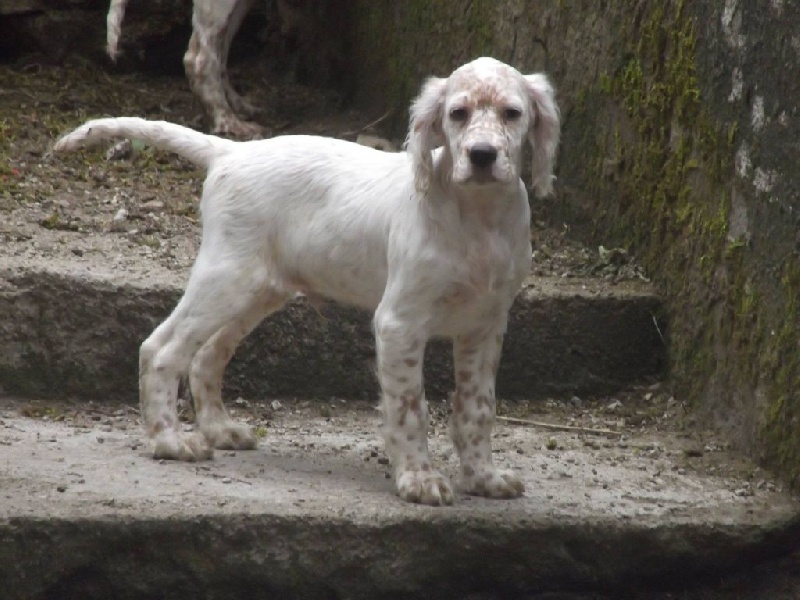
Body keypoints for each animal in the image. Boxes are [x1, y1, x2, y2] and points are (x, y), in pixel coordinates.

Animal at [54, 57, 560, 506]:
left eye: (512, 113)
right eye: (458, 113)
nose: (482, 156)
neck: (478, 218)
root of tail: (233, 151)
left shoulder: (485, 326)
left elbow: (477, 408)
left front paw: (483, 478)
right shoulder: (399, 323)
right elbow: (408, 408)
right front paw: (419, 479)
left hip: (258, 291)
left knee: (206, 356)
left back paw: (219, 430)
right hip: (226, 278)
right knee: (161, 349)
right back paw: (170, 442)